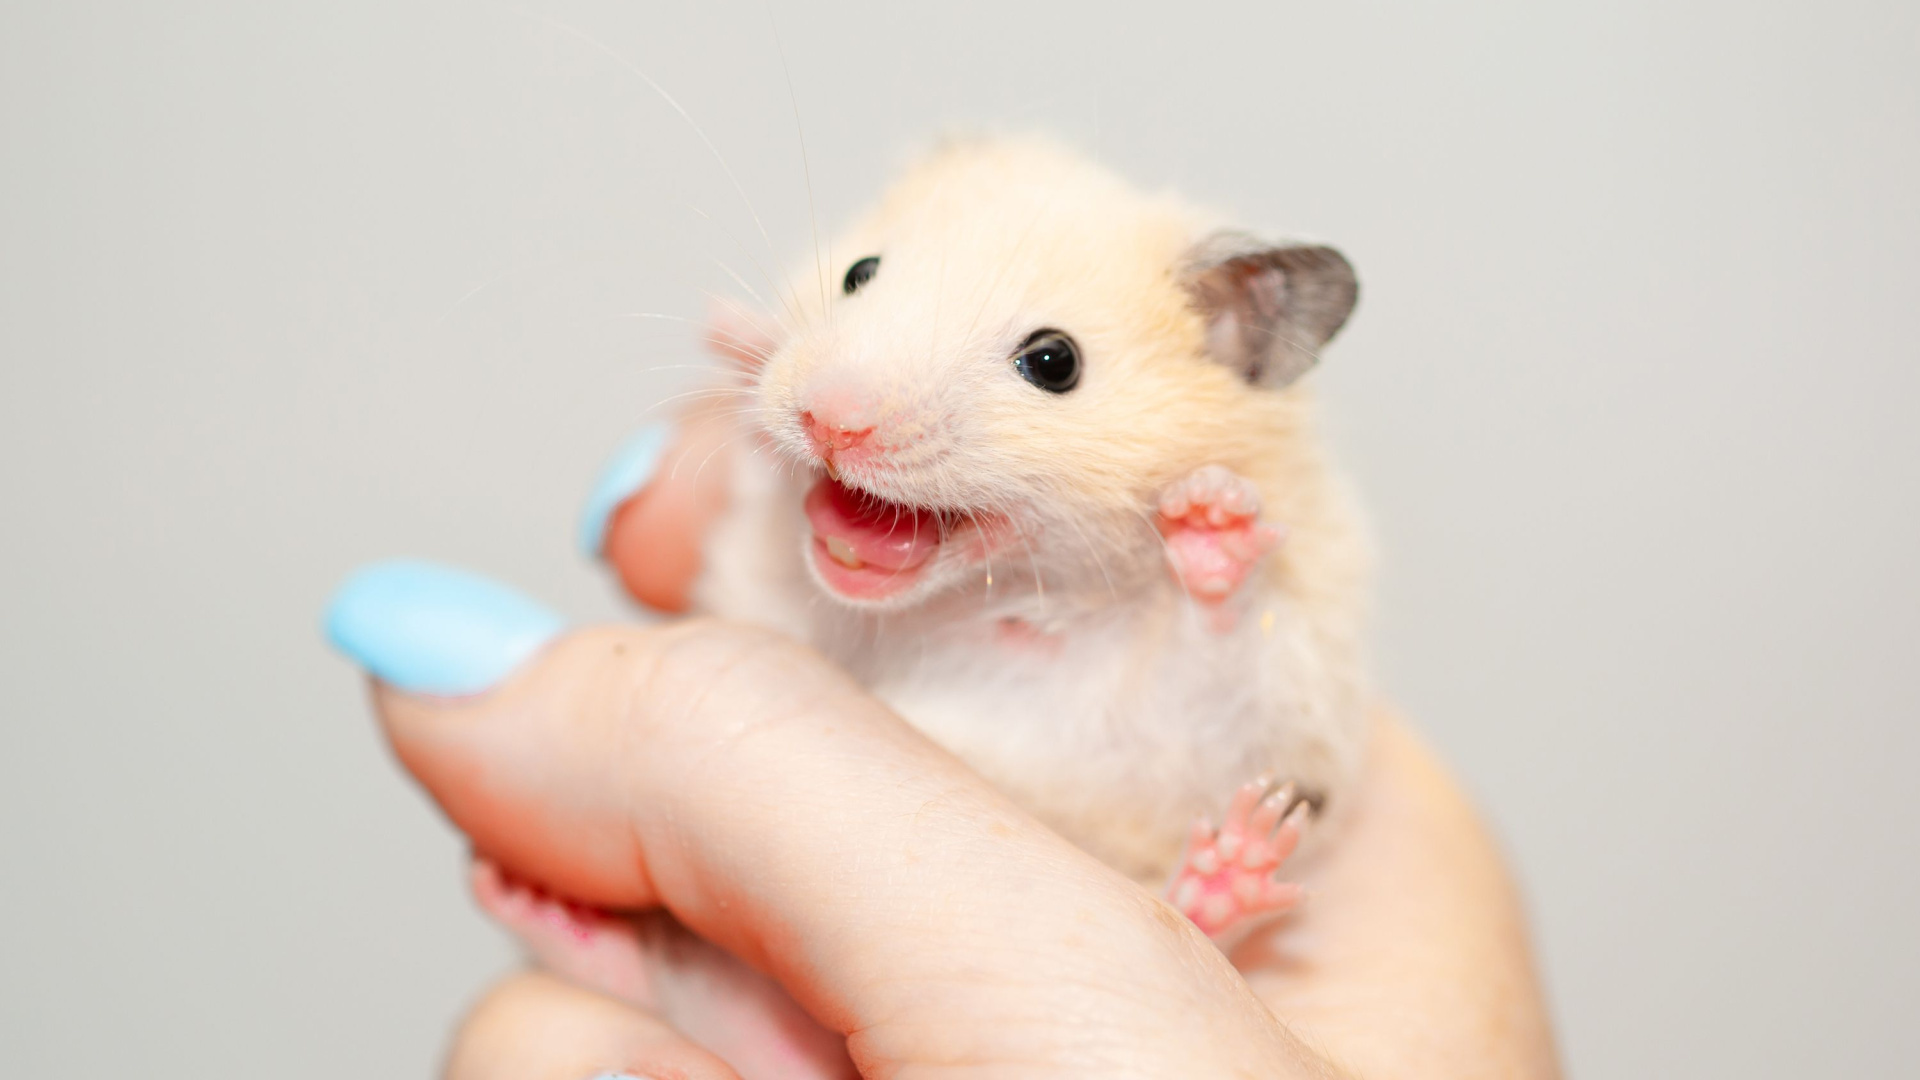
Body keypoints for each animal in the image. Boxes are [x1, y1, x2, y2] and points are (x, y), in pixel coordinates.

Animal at [691, 135, 1372, 936]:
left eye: (1054, 361)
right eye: (860, 272)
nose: (828, 421)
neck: (981, 603)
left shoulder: (1252, 722)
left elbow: (1223, 656)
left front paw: (1214, 513)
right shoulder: (775, 589)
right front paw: (731, 331)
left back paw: (1234, 868)